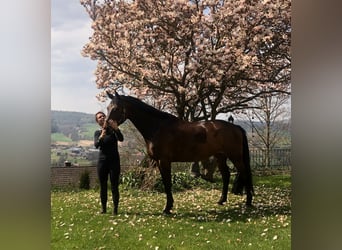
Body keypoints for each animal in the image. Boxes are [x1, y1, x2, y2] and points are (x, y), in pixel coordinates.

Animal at [107, 91, 254, 214]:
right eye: (108, 108)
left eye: (116, 108)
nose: (107, 126)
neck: (158, 127)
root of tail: (235, 127)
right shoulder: (159, 162)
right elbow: (165, 182)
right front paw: (169, 206)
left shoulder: (164, 161)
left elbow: (167, 183)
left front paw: (167, 208)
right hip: (220, 156)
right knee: (226, 175)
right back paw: (221, 200)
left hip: (235, 156)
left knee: (245, 173)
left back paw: (248, 202)